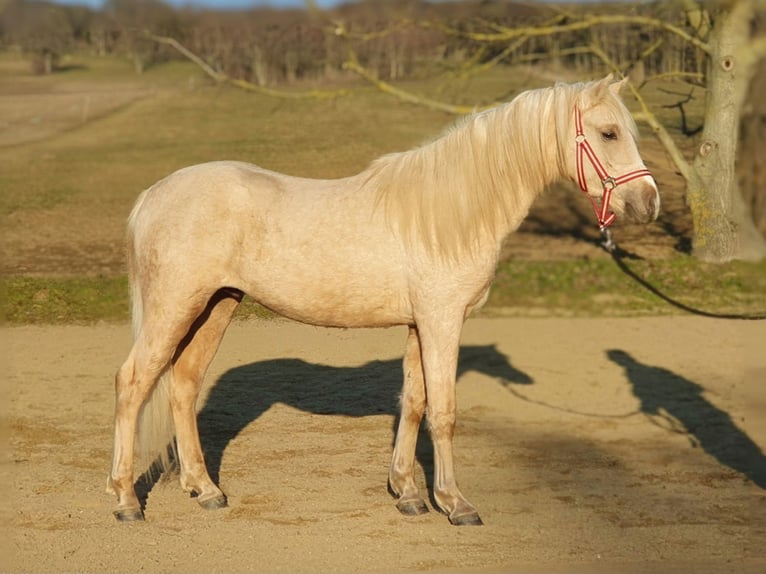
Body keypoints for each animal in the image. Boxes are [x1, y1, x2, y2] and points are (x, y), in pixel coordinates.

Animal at [106, 75, 660, 528]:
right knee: (133, 382)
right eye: (609, 133)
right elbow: (444, 410)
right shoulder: (442, 321)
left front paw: (408, 494)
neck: (451, 211)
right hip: (175, 307)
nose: (649, 203)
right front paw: (455, 503)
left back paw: (205, 491)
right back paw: (126, 500)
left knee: (182, 384)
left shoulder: (419, 324)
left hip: (216, 305)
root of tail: (153, 194)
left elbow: (413, 402)